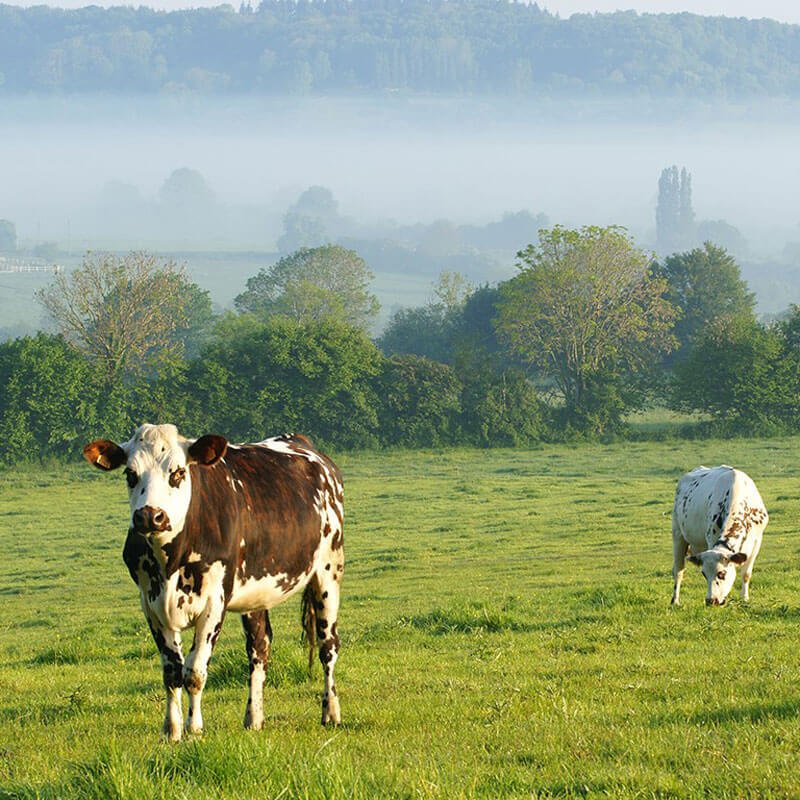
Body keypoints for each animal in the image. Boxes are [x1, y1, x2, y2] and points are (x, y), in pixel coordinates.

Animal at [82, 422, 344, 740]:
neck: (170, 561)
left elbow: (194, 672)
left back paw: (331, 712)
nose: (149, 516)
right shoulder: (152, 604)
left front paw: (194, 728)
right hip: (255, 592)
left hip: (329, 571)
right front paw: (172, 731)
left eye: (178, 472)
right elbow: (172, 672)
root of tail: (301, 442)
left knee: (328, 645)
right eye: (130, 474)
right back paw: (254, 717)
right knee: (259, 649)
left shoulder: (214, 602)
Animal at [668, 466, 768, 604]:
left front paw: (744, 598)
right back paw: (675, 601)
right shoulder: (711, 537)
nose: (711, 600)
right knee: (678, 571)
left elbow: (746, 574)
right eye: (704, 574)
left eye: (722, 573)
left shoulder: (756, 542)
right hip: (678, 534)